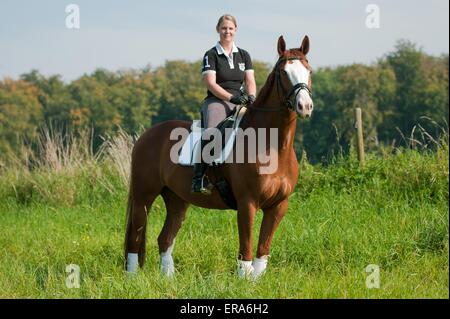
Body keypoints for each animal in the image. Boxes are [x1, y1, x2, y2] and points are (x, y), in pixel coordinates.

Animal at [123, 35, 312, 280]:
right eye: (283, 73)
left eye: (308, 70)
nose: (305, 106)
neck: (272, 146)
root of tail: (146, 135)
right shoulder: (247, 203)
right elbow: (246, 248)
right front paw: (244, 280)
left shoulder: (278, 206)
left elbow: (262, 250)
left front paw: (256, 280)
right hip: (143, 197)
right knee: (135, 237)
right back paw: (132, 277)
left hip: (177, 200)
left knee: (165, 238)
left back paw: (169, 279)